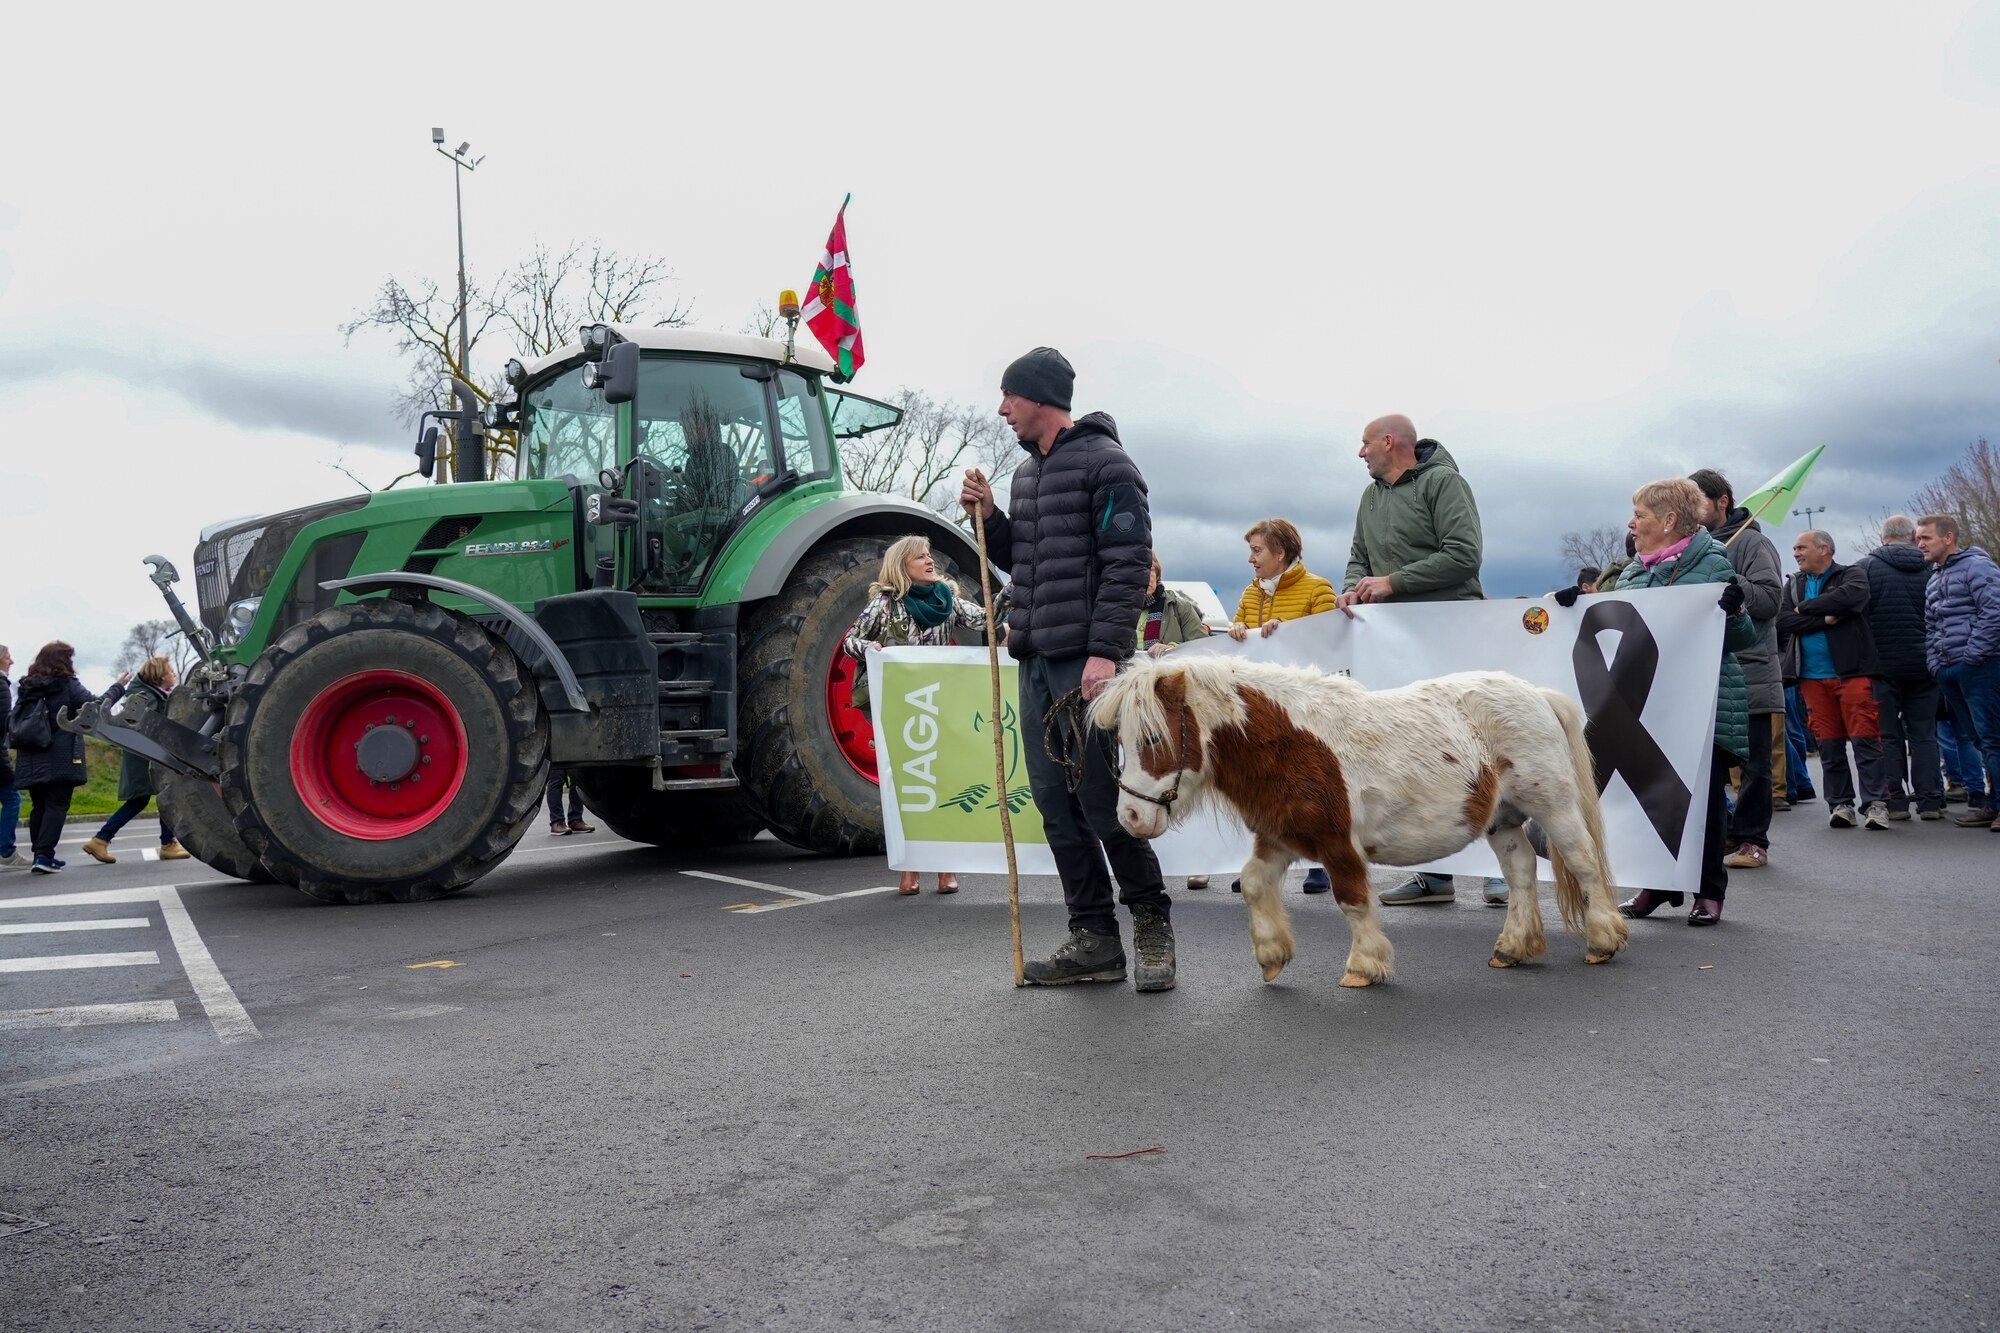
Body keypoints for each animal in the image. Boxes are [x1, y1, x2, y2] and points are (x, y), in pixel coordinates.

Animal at [1096, 656, 1624, 984]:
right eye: (1120, 740)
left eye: (1153, 737)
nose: (1129, 816)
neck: (1291, 744)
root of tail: (1536, 694)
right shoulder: (1281, 836)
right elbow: (1252, 884)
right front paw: (1272, 955)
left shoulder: (1336, 844)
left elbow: (1351, 899)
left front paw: (1364, 965)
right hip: (1504, 821)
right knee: (1520, 873)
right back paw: (1513, 948)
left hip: (1552, 806)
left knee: (1583, 862)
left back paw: (1603, 939)